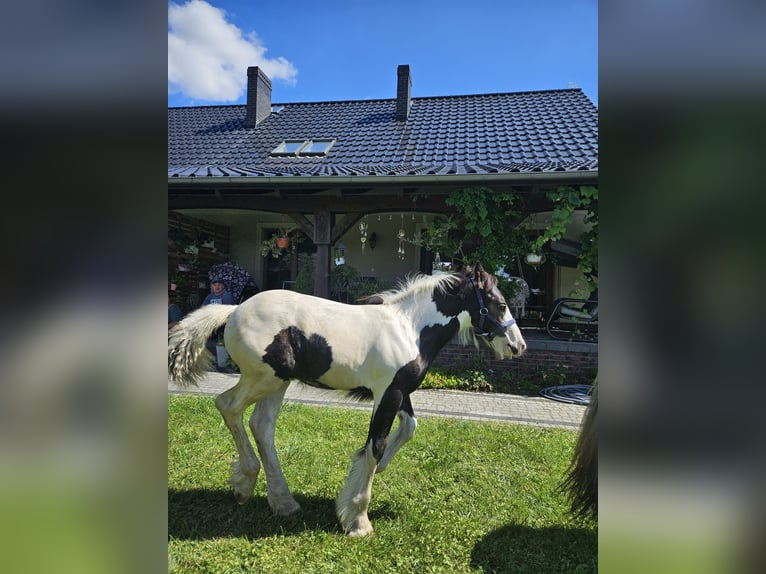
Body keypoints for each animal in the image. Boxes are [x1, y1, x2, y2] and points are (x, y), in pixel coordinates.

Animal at [170, 264, 528, 536]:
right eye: (499, 304)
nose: (518, 345)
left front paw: (378, 472)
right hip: (263, 379)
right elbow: (374, 446)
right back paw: (246, 483)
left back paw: (282, 501)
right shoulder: (388, 394)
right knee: (228, 406)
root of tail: (233, 310)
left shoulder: (399, 392)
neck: (409, 328)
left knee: (262, 426)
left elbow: (408, 428)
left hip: (277, 383)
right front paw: (358, 520)